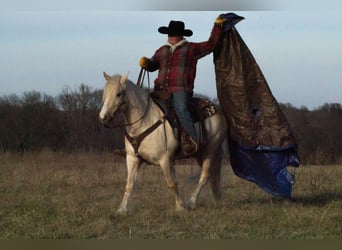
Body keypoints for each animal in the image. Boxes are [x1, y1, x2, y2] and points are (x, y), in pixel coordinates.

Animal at [98, 72, 227, 213]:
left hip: (211, 149)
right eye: (105, 94)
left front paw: (180, 207)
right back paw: (217, 200)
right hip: (200, 154)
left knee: (205, 176)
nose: (103, 118)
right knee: (212, 175)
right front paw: (122, 209)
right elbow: (129, 184)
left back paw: (192, 202)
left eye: (118, 94)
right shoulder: (132, 158)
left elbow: (171, 183)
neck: (143, 121)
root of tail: (218, 110)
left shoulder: (164, 159)